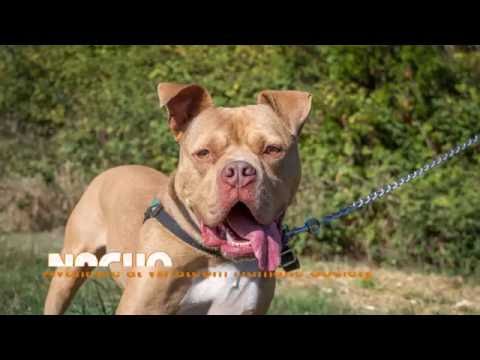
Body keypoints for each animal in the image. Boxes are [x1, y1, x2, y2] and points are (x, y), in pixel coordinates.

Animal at [44, 83, 312, 314]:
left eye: (272, 150)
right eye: (203, 153)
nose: (239, 171)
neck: (217, 258)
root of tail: (114, 169)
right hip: (71, 267)